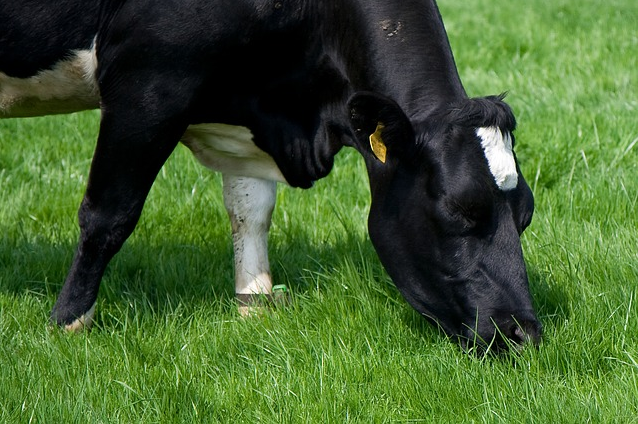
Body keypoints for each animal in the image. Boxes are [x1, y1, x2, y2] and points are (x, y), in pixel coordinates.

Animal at [0, 0, 544, 352]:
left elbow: (251, 212)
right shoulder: (148, 83)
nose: (525, 333)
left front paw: (254, 306)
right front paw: (68, 324)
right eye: (458, 211)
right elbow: (108, 216)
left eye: (526, 216)